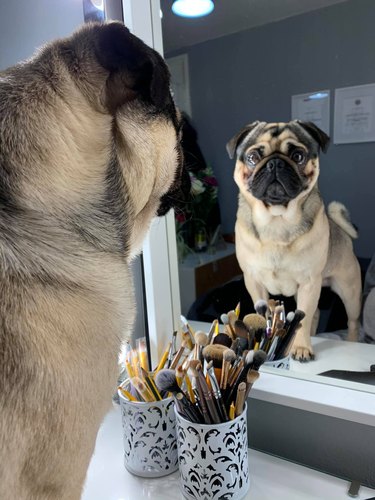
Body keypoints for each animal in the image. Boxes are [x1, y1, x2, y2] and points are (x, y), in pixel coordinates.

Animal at [228, 121, 362, 364]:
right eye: (253, 157)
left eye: (298, 156)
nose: (275, 163)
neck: (277, 220)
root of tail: (342, 232)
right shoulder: (254, 282)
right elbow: (269, 313)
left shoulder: (309, 282)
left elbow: (304, 317)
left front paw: (300, 347)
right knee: (315, 314)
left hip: (349, 292)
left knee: (351, 322)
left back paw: (352, 342)